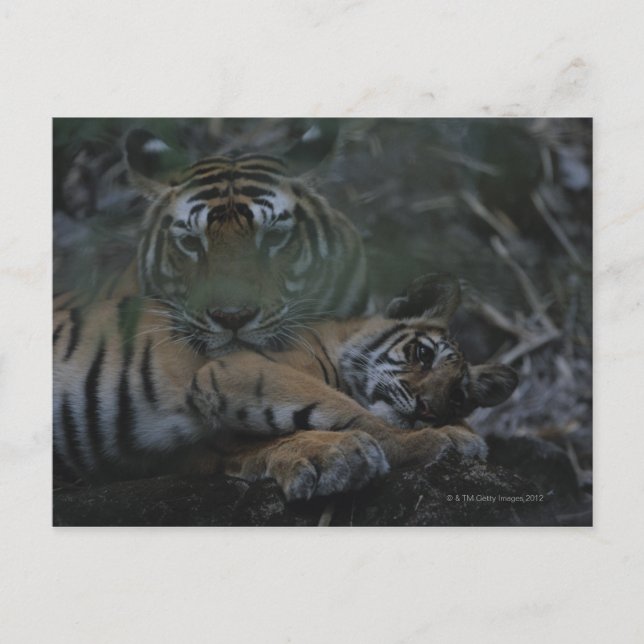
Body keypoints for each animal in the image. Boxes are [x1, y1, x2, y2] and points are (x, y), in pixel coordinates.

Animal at [54, 273, 518, 501]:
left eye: (457, 395)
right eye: (422, 354)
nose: (427, 410)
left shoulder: (191, 450)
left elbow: (265, 444)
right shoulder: (242, 369)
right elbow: (353, 414)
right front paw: (446, 439)